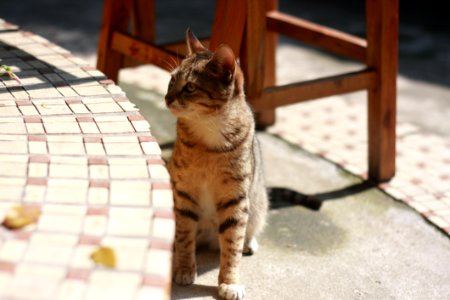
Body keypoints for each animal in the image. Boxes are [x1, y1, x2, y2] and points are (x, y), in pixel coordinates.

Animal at [166, 28, 268, 300]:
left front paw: (229, 282)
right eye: (171, 81)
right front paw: (184, 269)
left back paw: (249, 243)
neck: (208, 137)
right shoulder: (184, 193)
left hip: (258, 205)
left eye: (190, 87)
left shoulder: (235, 199)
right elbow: (184, 236)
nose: (167, 98)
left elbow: (232, 246)